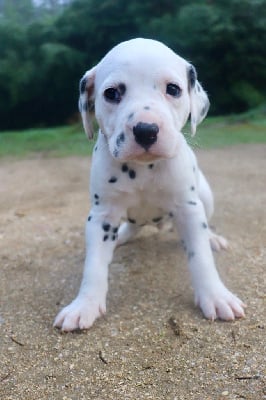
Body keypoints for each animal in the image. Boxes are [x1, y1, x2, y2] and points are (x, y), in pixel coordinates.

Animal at [53, 37, 246, 332]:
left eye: (173, 89)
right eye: (111, 93)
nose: (146, 130)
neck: (143, 170)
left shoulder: (189, 209)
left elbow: (201, 257)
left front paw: (215, 296)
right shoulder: (101, 216)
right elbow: (94, 265)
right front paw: (84, 304)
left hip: (205, 196)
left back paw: (213, 238)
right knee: (132, 226)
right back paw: (121, 236)